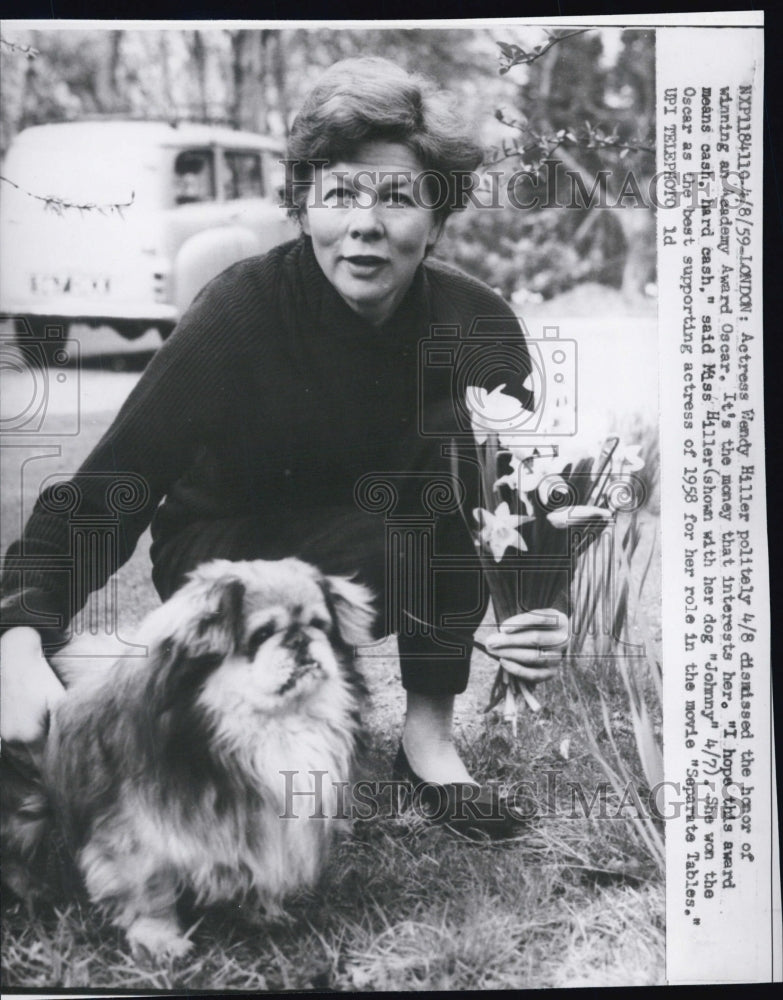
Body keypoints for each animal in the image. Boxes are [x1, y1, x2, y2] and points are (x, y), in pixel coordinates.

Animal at [5, 560, 374, 956]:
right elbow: (149, 890)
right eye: (262, 635)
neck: (266, 728)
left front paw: (264, 912)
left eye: (320, 626)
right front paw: (159, 939)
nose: (300, 638)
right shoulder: (136, 832)